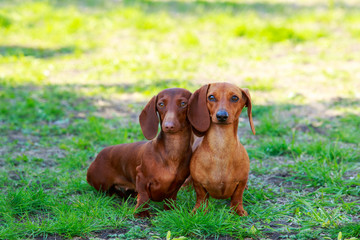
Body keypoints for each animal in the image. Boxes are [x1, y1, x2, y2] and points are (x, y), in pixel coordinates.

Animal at [86, 88, 193, 218]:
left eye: (183, 103)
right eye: (161, 104)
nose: (168, 126)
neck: (173, 152)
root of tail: (98, 156)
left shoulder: (178, 183)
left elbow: (171, 197)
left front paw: (170, 210)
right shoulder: (141, 177)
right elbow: (144, 196)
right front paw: (142, 213)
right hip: (102, 183)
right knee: (109, 190)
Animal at [187, 82, 255, 216]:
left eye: (234, 98)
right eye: (211, 97)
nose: (222, 116)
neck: (221, 147)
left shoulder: (242, 181)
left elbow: (237, 196)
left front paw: (238, 210)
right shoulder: (198, 183)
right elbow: (201, 197)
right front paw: (199, 210)